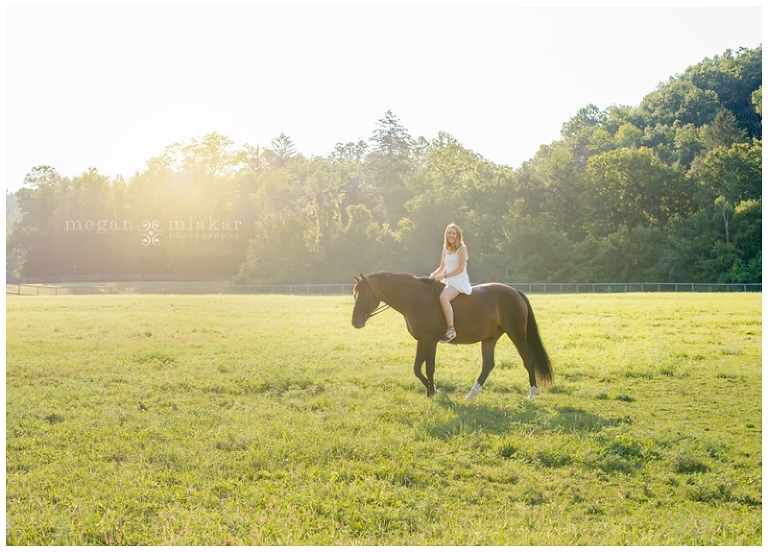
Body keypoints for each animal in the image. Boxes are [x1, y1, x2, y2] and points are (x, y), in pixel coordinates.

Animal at [352, 272, 556, 402]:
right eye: (354, 294)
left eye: (364, 295)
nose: (355, 322)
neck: (415, 299)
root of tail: (515, 292)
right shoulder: (421, 341)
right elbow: (417, 369)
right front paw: (434, 389)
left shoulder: (429, 341)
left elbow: (429, 368)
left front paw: (432, 393)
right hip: (489, 338)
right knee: (488, 365)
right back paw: (472, 394)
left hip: (517, 335)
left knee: (528, 360)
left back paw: (532, 393)